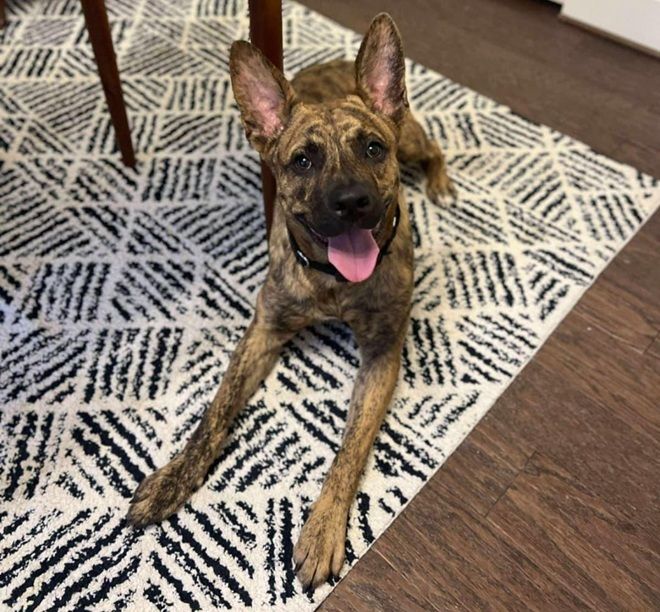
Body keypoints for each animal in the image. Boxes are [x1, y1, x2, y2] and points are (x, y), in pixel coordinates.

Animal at [127, 13, 453, 590]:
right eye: (302, 161)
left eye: (373, 148)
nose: (352, 202)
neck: (332, 279)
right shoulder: (263, 332)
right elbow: (213, 415)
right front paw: (173, 479)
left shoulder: (382, 356)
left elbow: (349, 447)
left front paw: (322, 528)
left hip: (412, 138)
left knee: (434, 149)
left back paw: (439, 183)